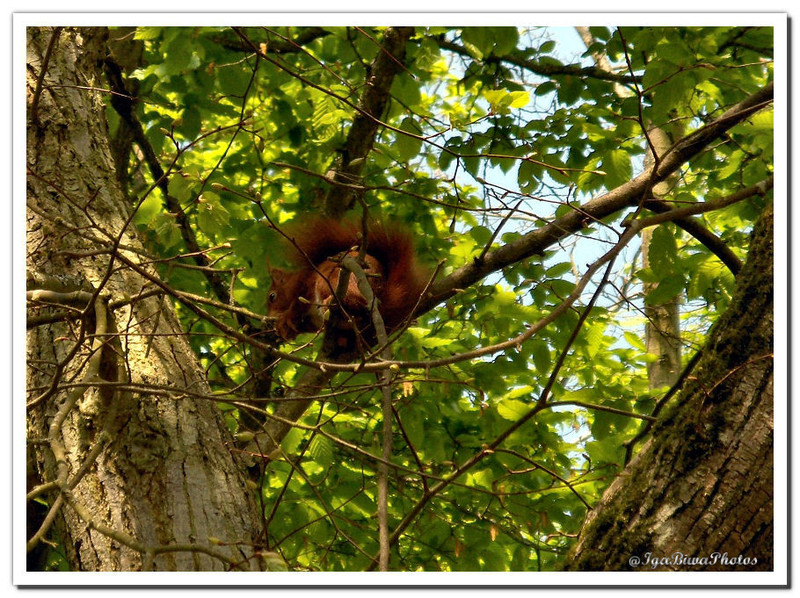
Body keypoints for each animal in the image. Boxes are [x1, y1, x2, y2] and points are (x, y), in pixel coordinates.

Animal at [268, 219, 432, 342]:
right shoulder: (311, 323)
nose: (270, 316)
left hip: (333, 280)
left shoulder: (305, 285)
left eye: (272, 296)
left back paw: (333, 303)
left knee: (356, 302)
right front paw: (287, 330)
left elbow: (297, 305)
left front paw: (284, 319)